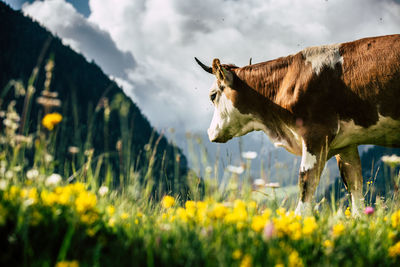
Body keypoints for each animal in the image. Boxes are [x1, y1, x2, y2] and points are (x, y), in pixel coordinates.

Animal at [195, 34, 400, 217]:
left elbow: (306, 181)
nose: (210, 132)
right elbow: (354, 183)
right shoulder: (346, 143)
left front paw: (298, 219)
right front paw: (359, 220)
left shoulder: (315, 133)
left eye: (212, 95)